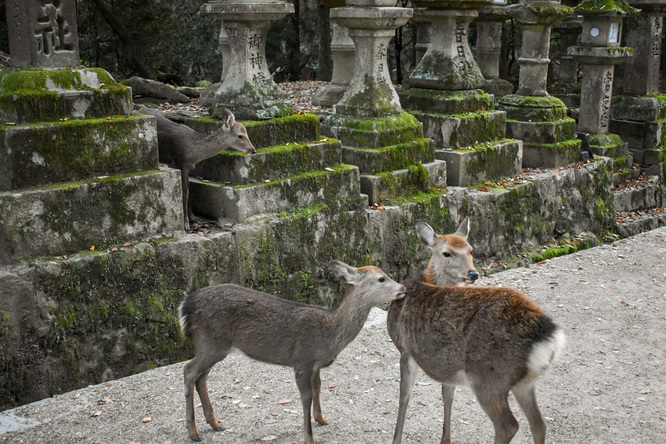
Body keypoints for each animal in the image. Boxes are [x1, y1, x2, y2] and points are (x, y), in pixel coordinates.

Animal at [176, 258, 404, 442]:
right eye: (382, 278)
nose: (403, 288)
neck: (329, 335)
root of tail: (184, 307)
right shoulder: (302, 360)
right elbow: (306, 397)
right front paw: (309, 438)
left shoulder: (315, 365)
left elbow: (318, 388)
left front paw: (321, 418)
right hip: (211, 342)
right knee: (189, 370)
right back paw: (193, 432)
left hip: (212, 346)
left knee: (201, 377)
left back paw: (215, 424)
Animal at [386, 219, 564, 444]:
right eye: (447, 253)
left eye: (471, 250)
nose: (473, 273)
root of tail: (547, 336)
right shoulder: (448, 364)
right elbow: (447, 395)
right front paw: (446, 440)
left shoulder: (404, 348)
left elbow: (404, 395)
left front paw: (396, 439)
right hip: (525, 381)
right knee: (539, 423)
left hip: (488, 376)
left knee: (508, 425)